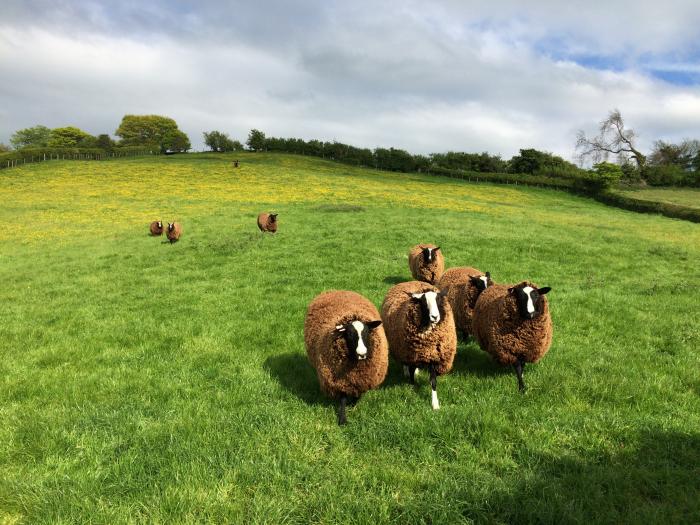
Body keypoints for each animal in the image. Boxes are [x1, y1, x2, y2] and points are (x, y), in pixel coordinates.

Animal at [304, 288, 388, 424]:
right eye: (349, 334)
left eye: (367, 332)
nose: (362, 354)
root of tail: (334, 290)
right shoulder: (340, 380)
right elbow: (342, 399)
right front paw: (342, 419)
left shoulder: (362, 379)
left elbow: (357, 395)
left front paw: (353, 405)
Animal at [380, 278, 456, 410]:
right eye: (424, 303)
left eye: (438, 300)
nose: (435, 317)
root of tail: (409, 281)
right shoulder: (411, 354)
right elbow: (411, 373)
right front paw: (412, 386)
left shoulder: (433, 356)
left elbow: (433, 381)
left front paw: (435, 404)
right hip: (402, 349)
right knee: (406, 364)